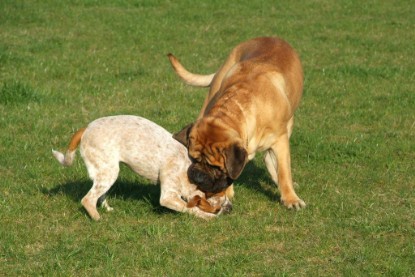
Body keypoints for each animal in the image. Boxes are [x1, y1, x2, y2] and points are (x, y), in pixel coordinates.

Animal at [51, 115, 234, 220]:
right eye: (216, 208)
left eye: (225, 196)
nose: (230, 209)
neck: (189, 173)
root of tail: (86, 128)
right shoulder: (168, 197)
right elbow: (190, 208)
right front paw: (207, 217)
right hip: (109, 171)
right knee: (87, 199)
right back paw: (97, 218)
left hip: (106, 173)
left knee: (99, 195)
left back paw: (107, 209)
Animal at [168, 37, 306, 209]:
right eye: (193, 159)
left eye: (216, 167)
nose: (198, 176)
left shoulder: (280, 138)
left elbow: (284, 171)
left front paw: (291, 199)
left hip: (289, 123)